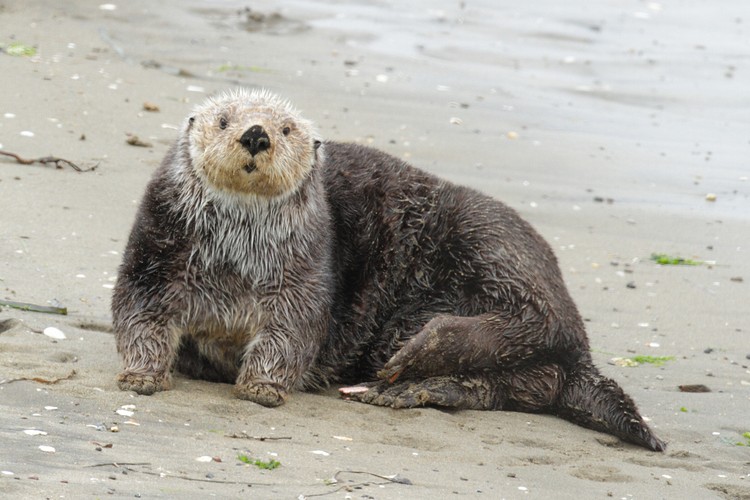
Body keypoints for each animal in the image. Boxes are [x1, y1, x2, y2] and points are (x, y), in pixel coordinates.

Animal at [112, 89, 665, 451]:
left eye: (287, 129)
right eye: (224, 119)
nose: (255, 134)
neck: (236, 252)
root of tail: (582, 356)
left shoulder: (305, 266)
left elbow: (294, 326)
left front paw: (261, 387)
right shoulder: (156, 246)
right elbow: (139, 306)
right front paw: (141, 376)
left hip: (491, 239)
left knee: (537, 322)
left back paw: (417, 354)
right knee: (517, 381)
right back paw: (410, 387)